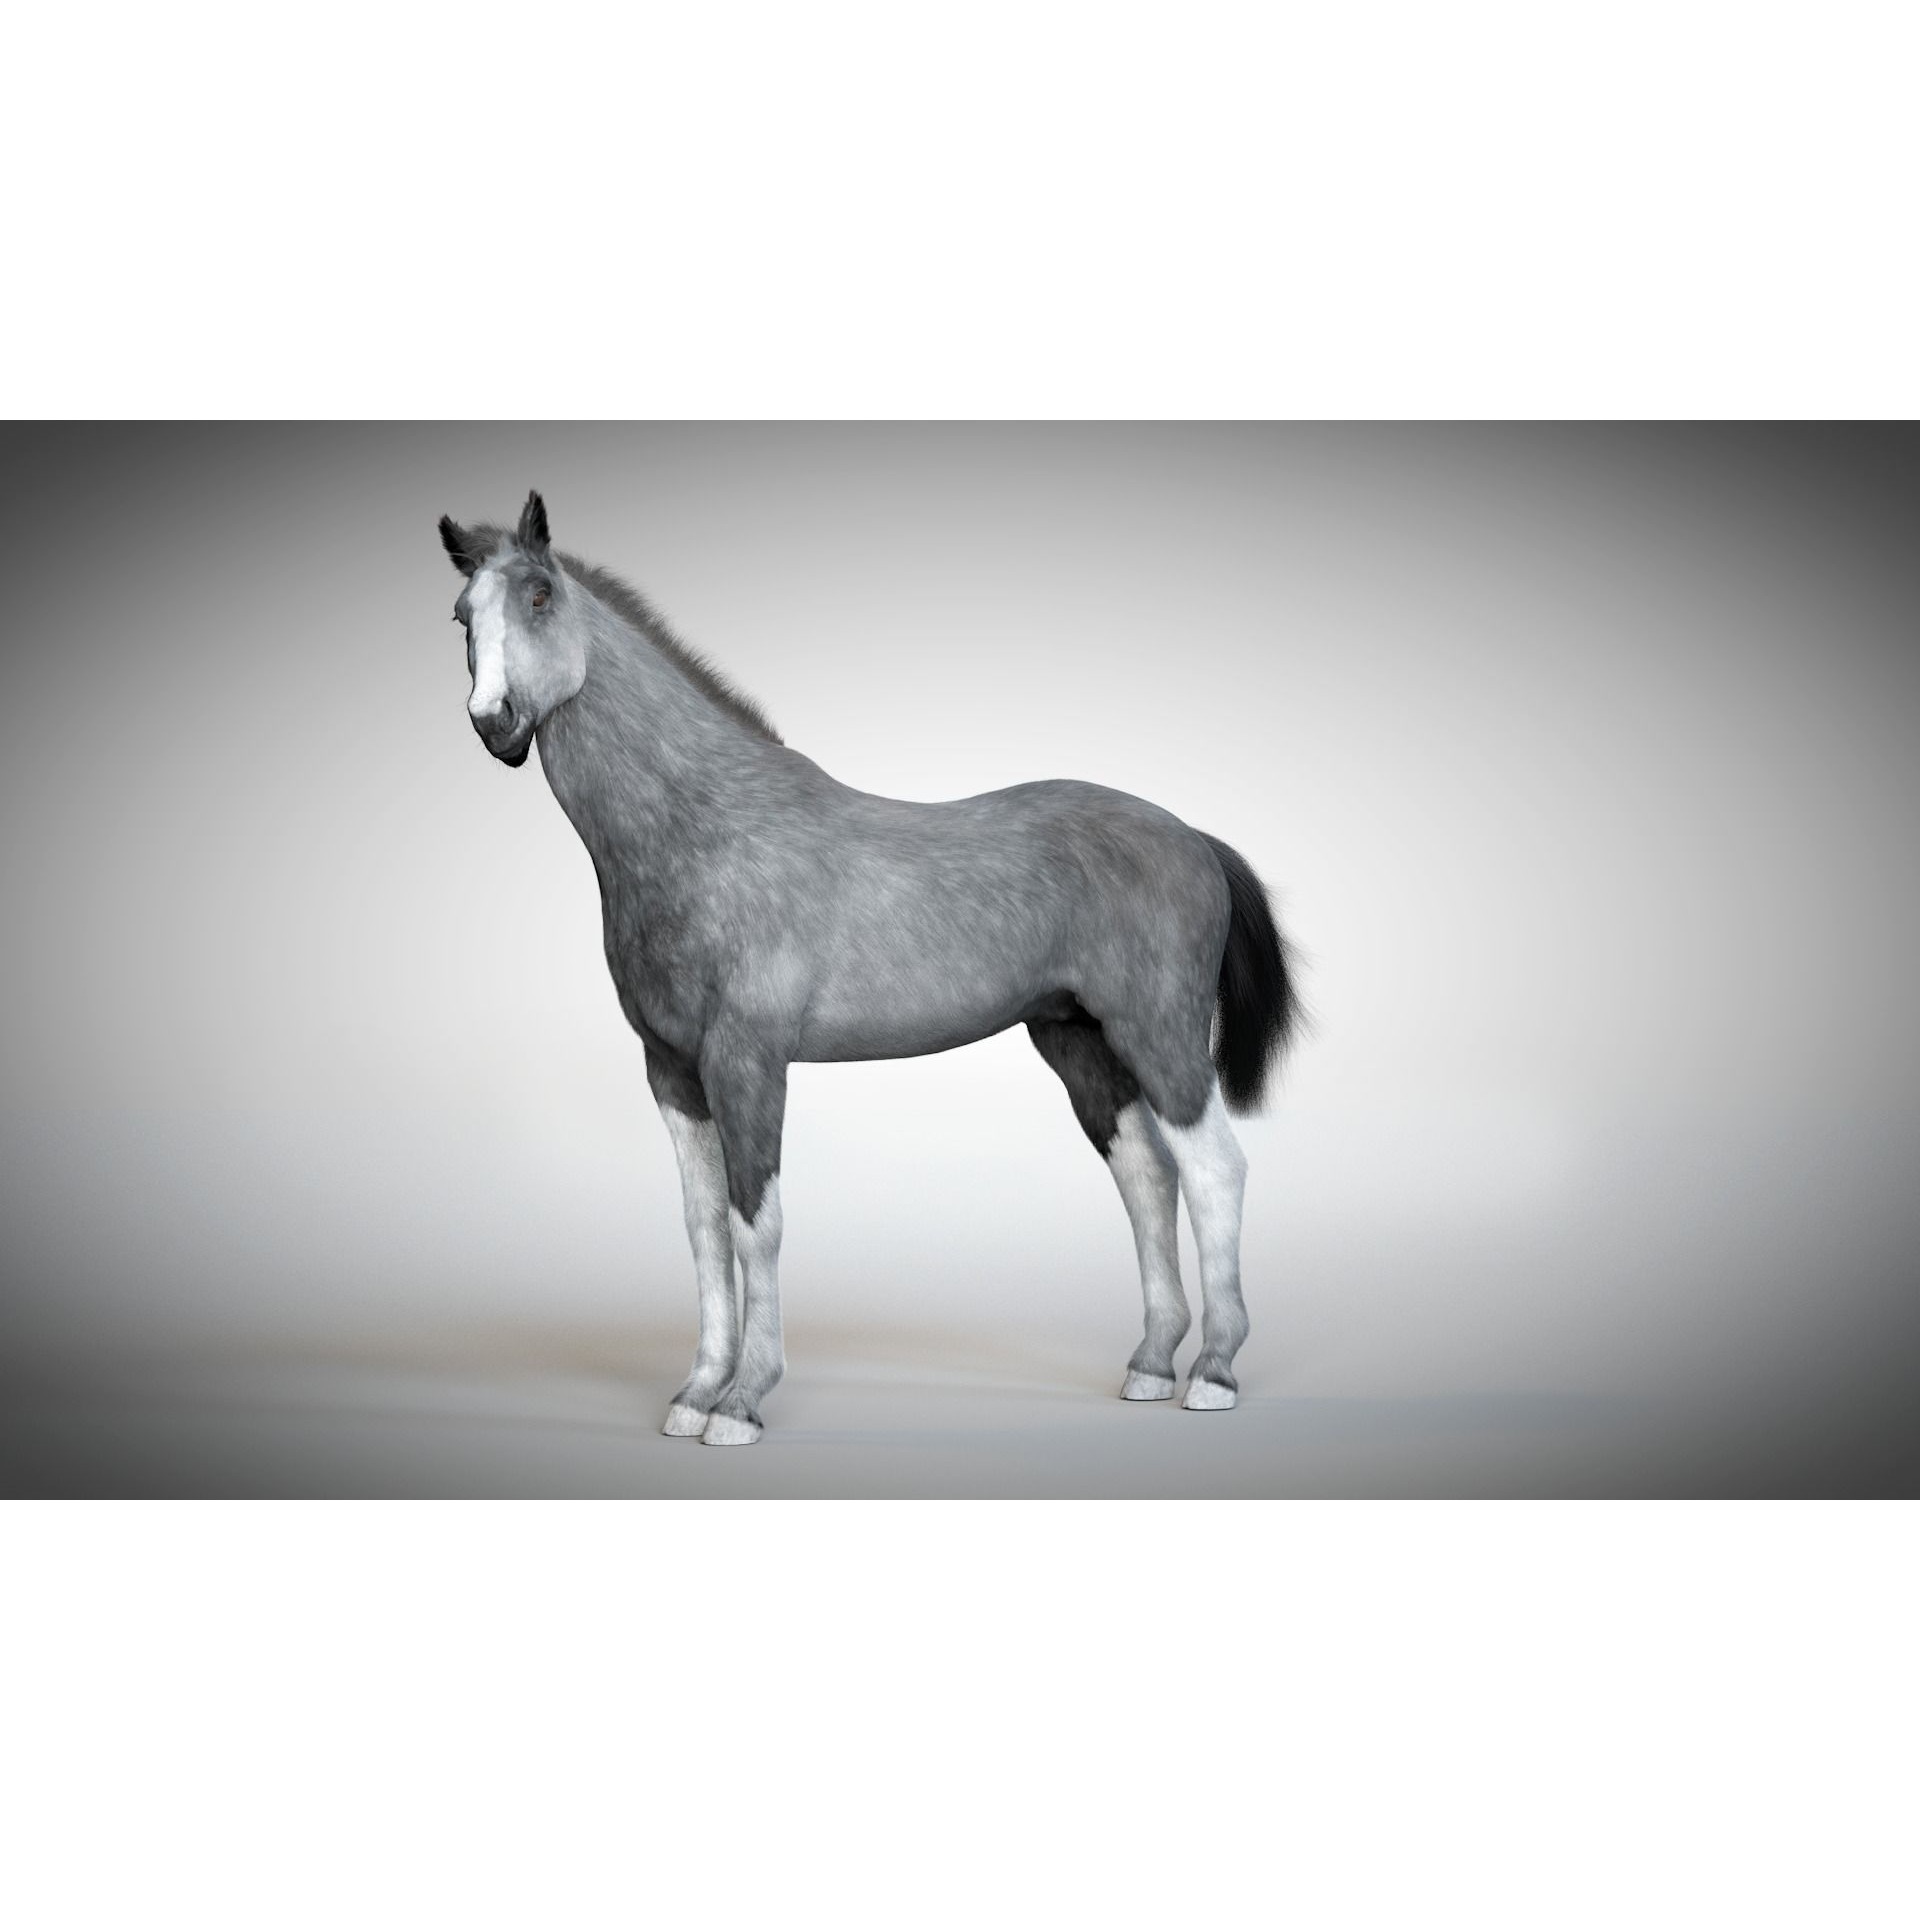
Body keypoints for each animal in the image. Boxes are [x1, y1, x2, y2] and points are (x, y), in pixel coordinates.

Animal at [438, 492, 1300, 1445]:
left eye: (541, 595)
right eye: (462, 616)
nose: (495, 723)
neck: (705, 830)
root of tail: (1195, 838)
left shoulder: (746, 1062)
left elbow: (755, 1223)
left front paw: (742, 1402)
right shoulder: (672, 1071)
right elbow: (702, 1227)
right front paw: (695, 1392)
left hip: (1160, 1036)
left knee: (1214, 1170)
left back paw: (1214, 1370)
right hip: (1077, 1043)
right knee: (1147, 1176)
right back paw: (1150, 1363)